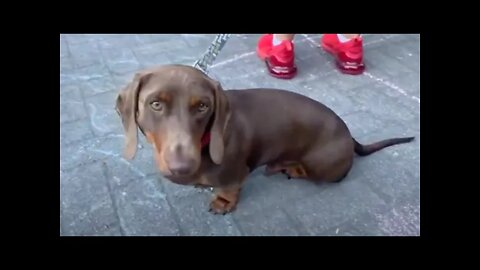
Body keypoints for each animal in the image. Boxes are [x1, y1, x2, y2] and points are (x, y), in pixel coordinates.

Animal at [114, 64, 414, 214]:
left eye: (202, 107)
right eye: (155, 104)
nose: (182, 168)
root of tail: (350, 137)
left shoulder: (235, 174)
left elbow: (229, 189)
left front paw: (223, 203)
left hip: (322, 167)